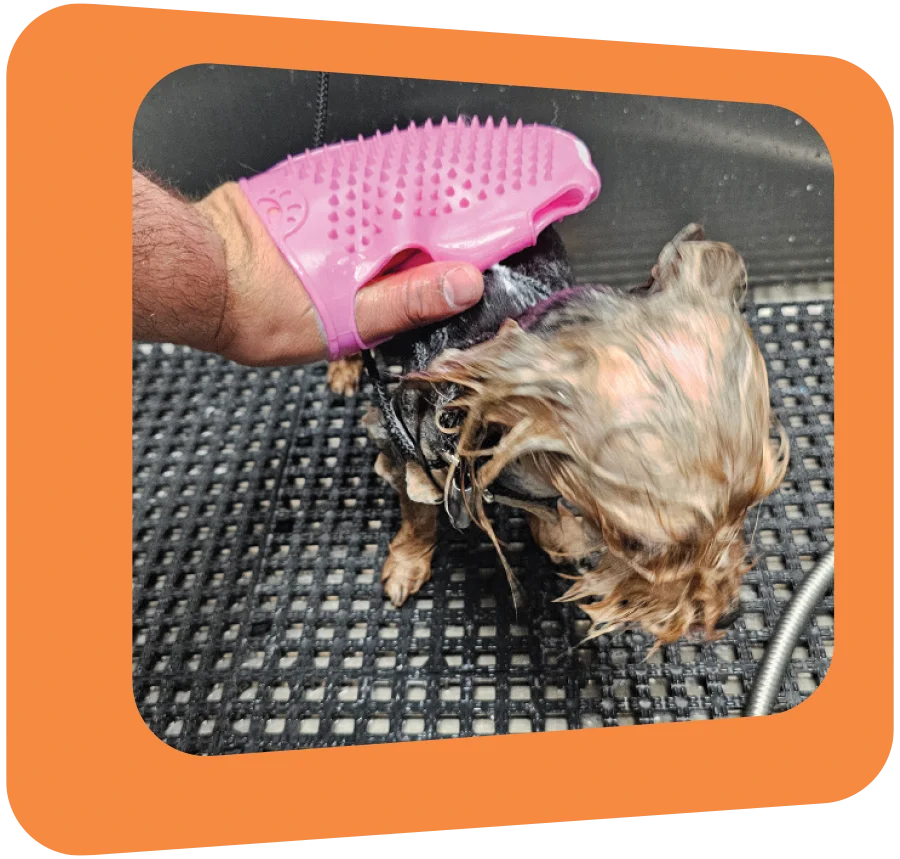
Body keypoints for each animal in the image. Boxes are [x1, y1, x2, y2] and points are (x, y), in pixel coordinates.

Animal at [328, 225, 788, 648]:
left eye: (749, 506)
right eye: (634, 544)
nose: (728, 615)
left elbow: (544, 514)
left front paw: (561, 538)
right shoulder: (398, 444)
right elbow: (417, 516)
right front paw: (408, 563)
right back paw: (343, 365)